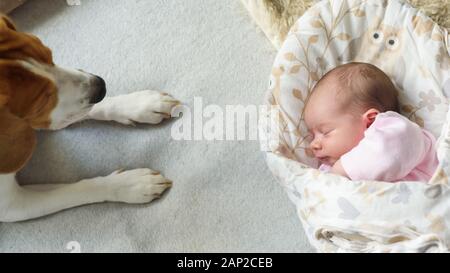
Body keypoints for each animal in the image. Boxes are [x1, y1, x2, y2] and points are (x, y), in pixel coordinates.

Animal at [0, 14, 179, 221]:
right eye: (42, 100)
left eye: (50, 55)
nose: (101, 86)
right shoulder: (12, 206)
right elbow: (73, 191)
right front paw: (130, 184)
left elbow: (85, 110)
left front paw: (138, 104)